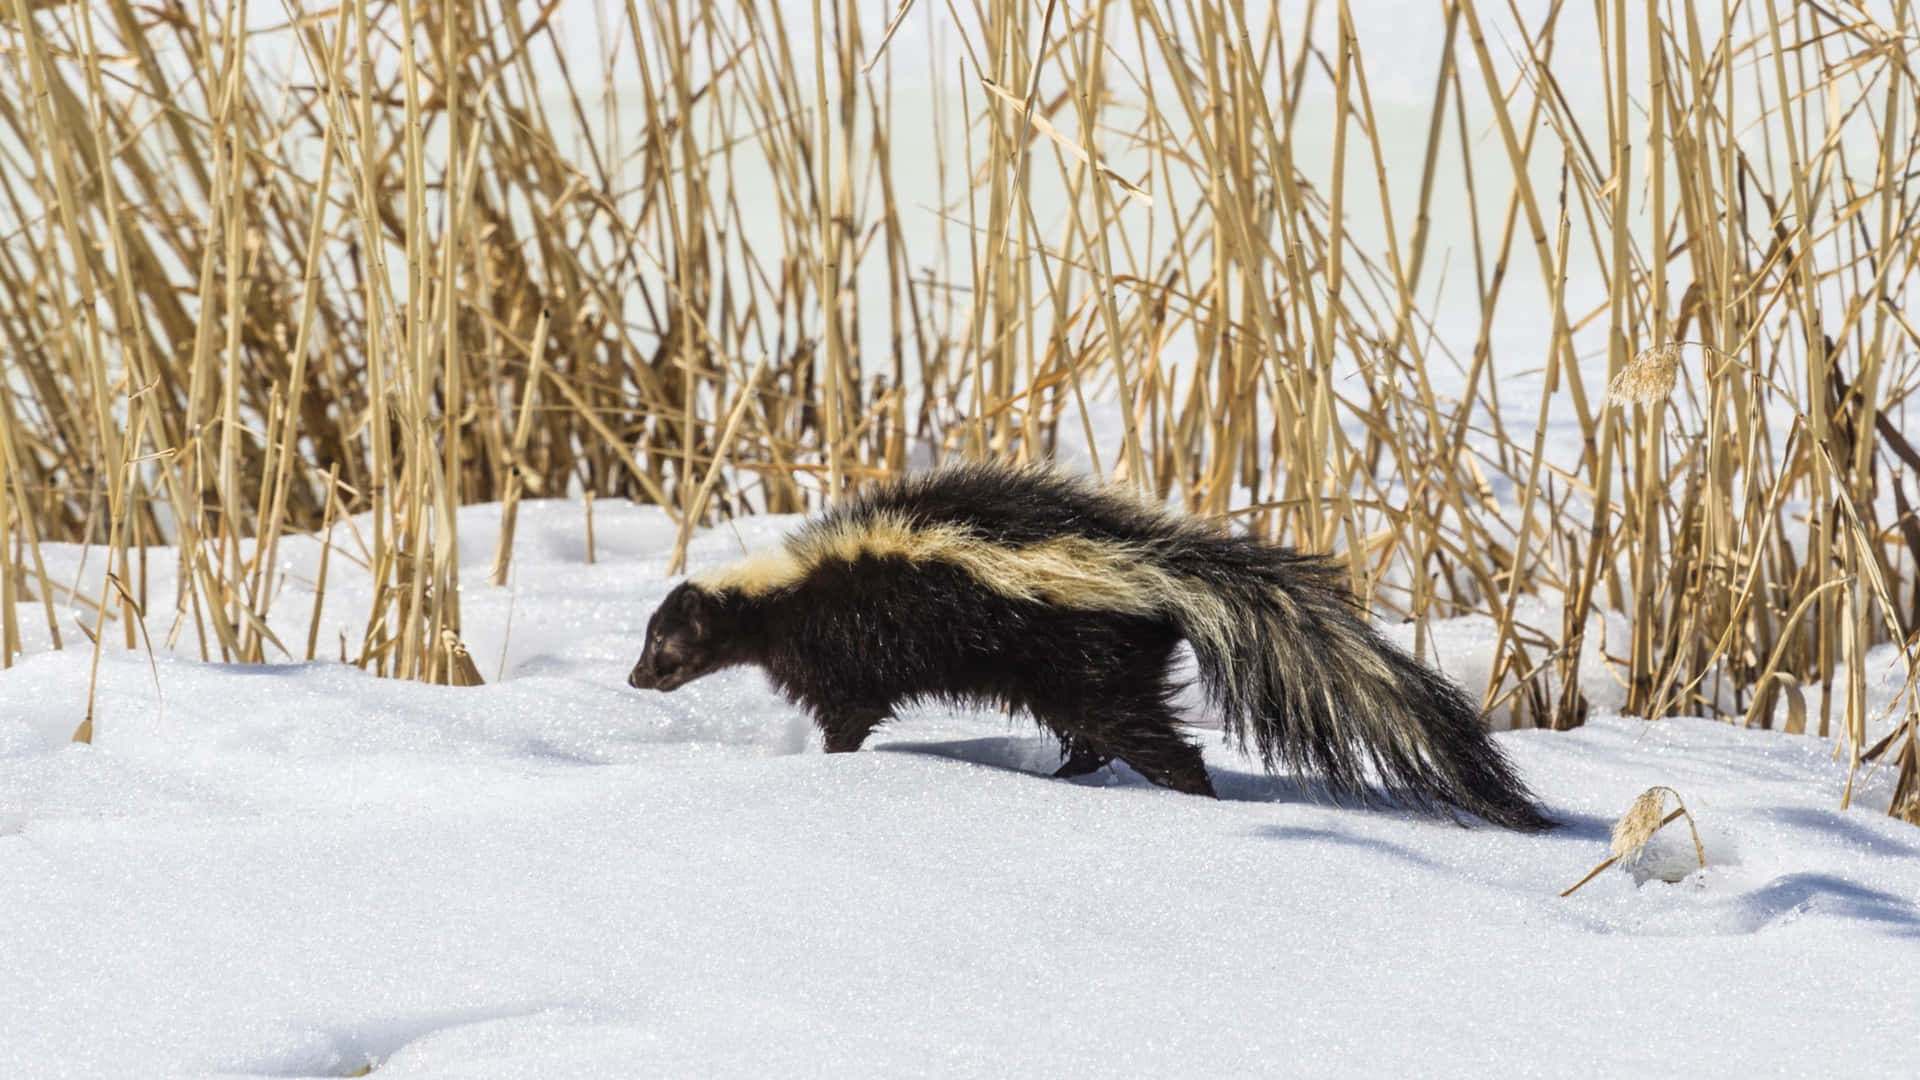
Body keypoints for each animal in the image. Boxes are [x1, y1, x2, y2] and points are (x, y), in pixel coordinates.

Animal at [629, 457, 1559, 826]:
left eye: (666, 646)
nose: (637, 680)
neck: (784, 589)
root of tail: (1159, 567)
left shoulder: (845, 642)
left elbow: (848, 714)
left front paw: (830, 764)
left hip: (1084, 657)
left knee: (1152, 740)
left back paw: (1192, 800)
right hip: (1086, 667)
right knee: (1094, 737)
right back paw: (1063, 780)